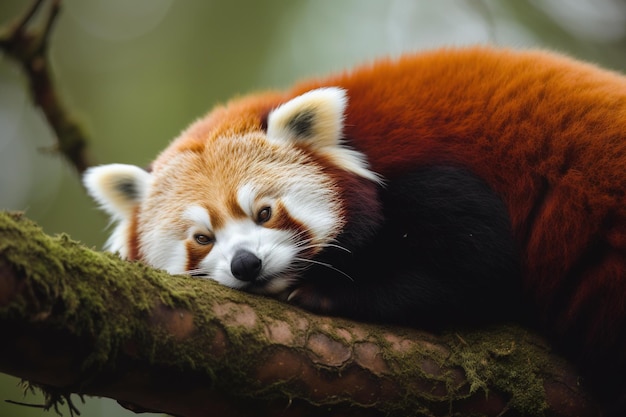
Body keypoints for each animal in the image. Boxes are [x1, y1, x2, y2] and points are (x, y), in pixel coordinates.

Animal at [84, 47, 624, 412]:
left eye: (264, 212)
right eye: (202, 238)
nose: (246, 264)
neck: (355, 143)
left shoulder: (432, 177)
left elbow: (479, 265)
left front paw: (325, 293)